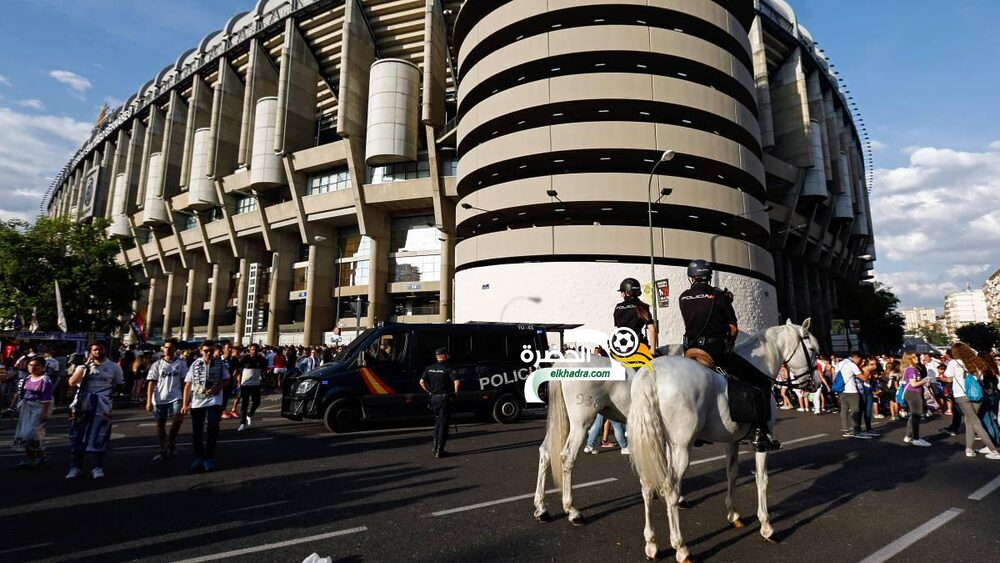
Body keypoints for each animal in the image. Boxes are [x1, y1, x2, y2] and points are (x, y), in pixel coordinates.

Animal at [632, 320, 820, 560]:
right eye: (812, 350)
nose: (816, 384)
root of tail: (652, 373)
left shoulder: (732, 441)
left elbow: (732, 473)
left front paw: (733, 514)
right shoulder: (761, 443)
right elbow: (762, 479)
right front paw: (766, 526)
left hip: (657, 445)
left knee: (647, 486)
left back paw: (651, 543)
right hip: (681, 449)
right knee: (670, 490)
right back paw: (681, 547)